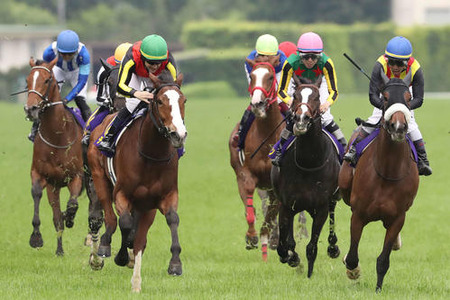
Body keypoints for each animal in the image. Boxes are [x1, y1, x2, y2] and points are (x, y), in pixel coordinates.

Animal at [23, 58, 84, 255]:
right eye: (27, 81)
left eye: (47, 80)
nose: (31, 109)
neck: (57, 135)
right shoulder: (41, 175)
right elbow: (37, 194)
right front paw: (36, 237)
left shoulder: (77, 176)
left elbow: (72, 205)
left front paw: (70, 218)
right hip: (54, 187)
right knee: (57, 217)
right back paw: (59, 250)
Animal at [86, 71, 186, 292]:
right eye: (159, 101)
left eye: (183, 100)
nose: (178, 134)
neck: (151, 154)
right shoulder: (122, 194)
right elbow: (124, 224)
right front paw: (121, 256)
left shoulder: (165, 196)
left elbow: (172, 220)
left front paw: (175, 264)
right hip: (99, 178)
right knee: (109, 218)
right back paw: (103, 248)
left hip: (145, 206)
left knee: (139, 237)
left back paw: (135, 280)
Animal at [229, 56, 284, 260]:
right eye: (252, 76)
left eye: (270, 77)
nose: (257, 103)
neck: (266, 135)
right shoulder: (246, 175)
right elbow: (250, 210)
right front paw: (251, 237)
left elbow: (270, 218)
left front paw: (266, 238)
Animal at [270, 76, 342, 278]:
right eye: (295, 95)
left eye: (317, 97)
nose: (301, 119)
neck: (309, 162)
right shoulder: (287, 204)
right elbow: (284, 244)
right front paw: (291, 257)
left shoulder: (321, 207)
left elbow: (311, 247)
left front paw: (309, 275)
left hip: (331, 200)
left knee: (332, 217)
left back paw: (333, 247)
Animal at [340, 77, 420, 290]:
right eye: (384, 97)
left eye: (408, 97)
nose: (399, 126)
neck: (387, 171)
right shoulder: (359, 214)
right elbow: (352, 256)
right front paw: (353, 271)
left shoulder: (398, 217)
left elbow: (384, 259)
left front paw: (378, 288)